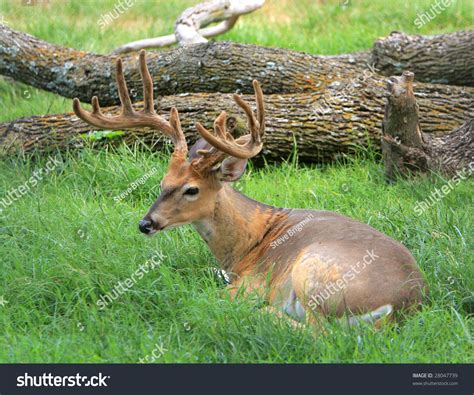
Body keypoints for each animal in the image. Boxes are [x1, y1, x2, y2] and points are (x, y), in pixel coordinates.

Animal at [72, 50, 428, 328]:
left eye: (191, 190)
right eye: (162, 183)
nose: (146, 223)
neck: (248, 241)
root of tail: (404, 303)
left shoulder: (250, 282)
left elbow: (212, 297)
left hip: (313, 270)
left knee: (318, 332)